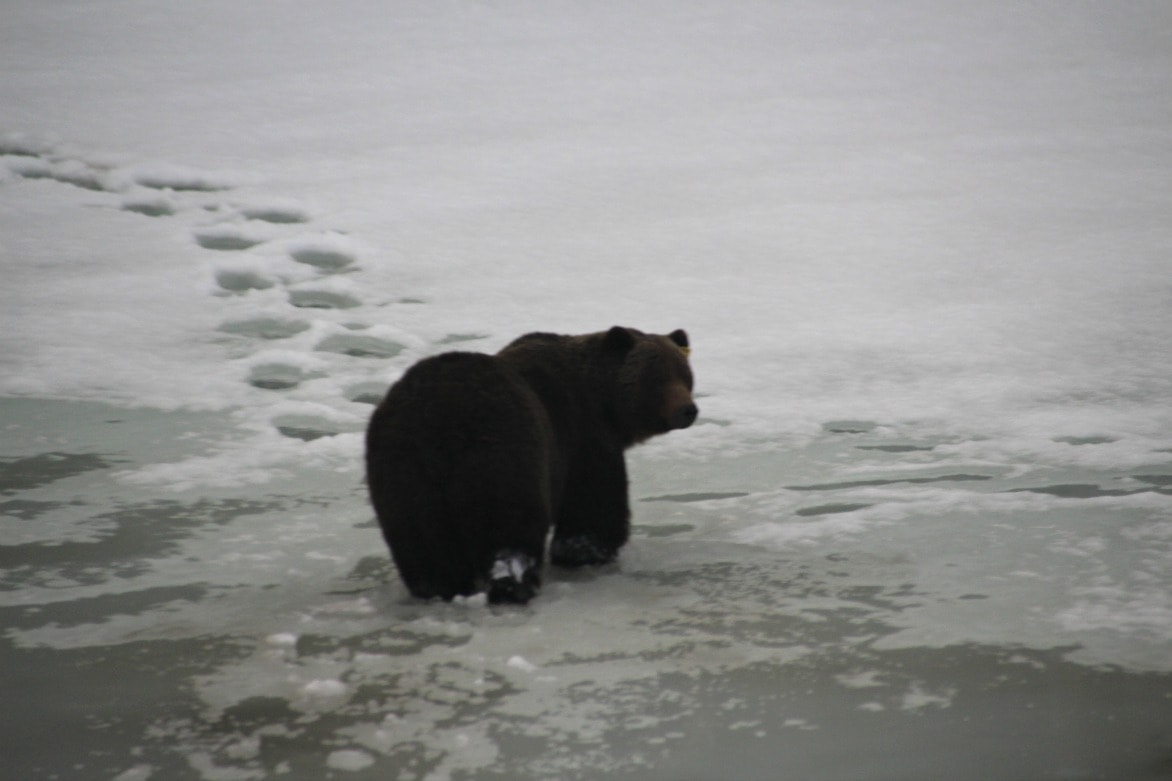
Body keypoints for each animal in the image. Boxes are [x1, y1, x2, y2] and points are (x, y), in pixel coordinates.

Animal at [363, 321, 693, 600]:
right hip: (503, 452)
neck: (604, 403)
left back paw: (439, 587)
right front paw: (587, 551)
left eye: (685, 374)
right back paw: (514, 584)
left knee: (423, 544)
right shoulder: (582, 437)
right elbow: (592, 506)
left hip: (402, 472)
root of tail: (437, 418)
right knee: (510, 526)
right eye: (657, 377)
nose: (688, 410)